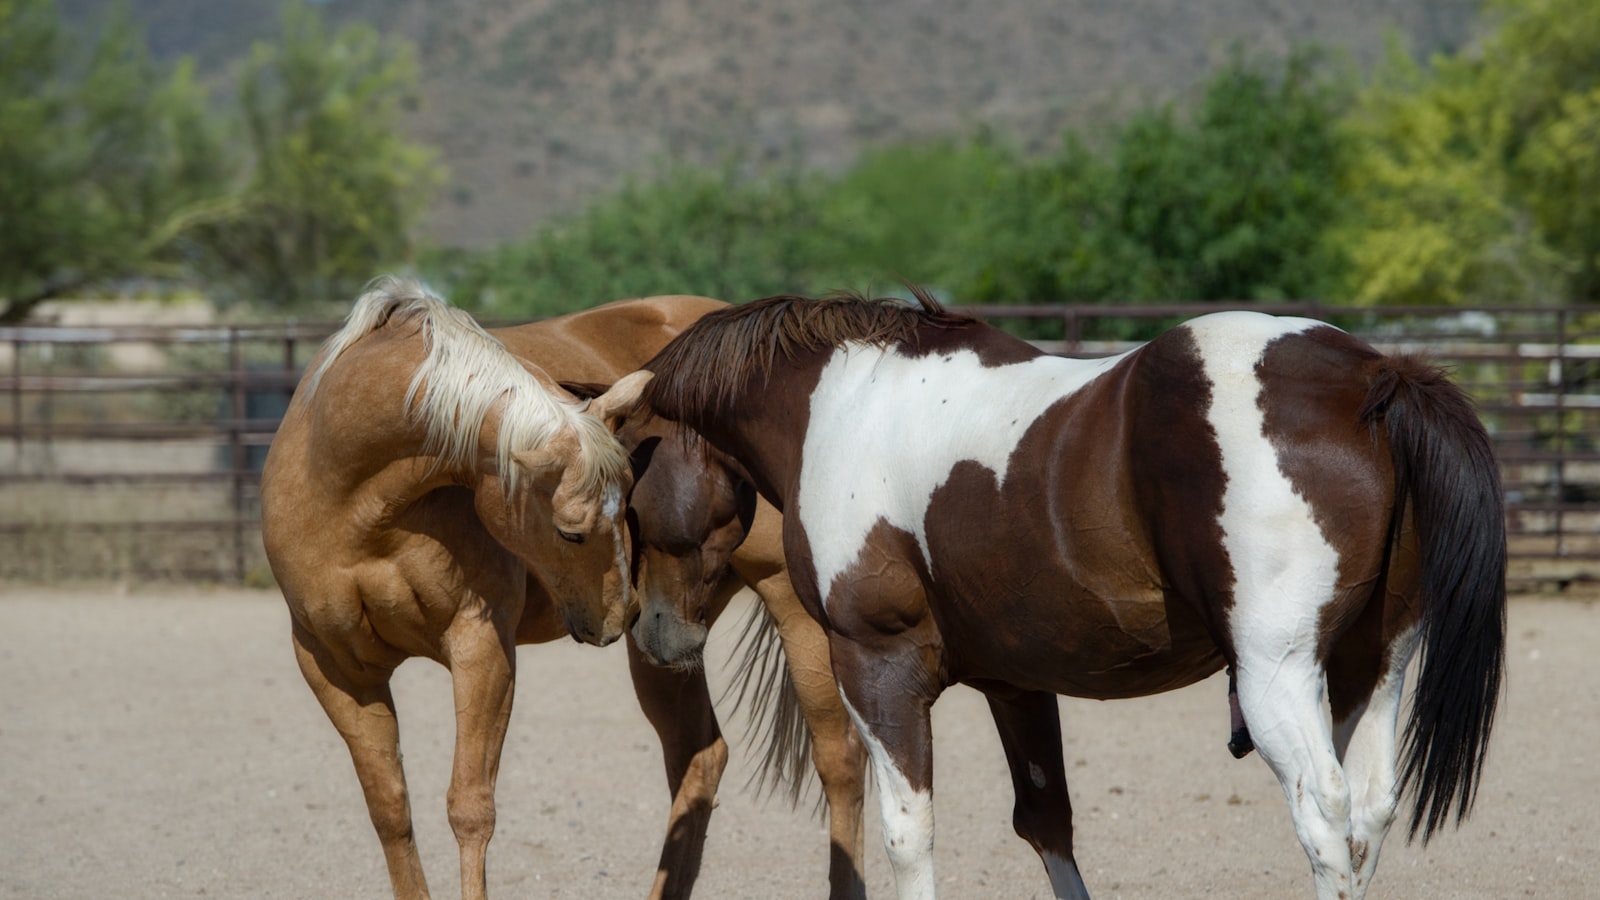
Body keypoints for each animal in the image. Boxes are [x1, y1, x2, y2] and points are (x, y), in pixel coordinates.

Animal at [640, 291, 1510, 890]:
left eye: (636, 488)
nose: (654, 637)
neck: (842, 404)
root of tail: (1374, 376)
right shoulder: (1016, 685)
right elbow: (1046, 823)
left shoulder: (879, 669)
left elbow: (908, 834)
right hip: (1373, 667)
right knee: (1368, 812)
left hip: (1278, 674)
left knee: (1324, 817)